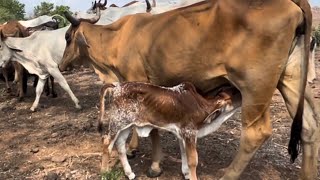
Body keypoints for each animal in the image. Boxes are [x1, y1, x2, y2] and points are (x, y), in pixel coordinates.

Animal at [97, 82, 240, 180]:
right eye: (234, 93)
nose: (242, 93)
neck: (200, 104)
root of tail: (116, 87)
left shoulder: (182, 134)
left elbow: (184, 154)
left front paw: (186, 173)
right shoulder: (189, 132)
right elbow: (193, 160)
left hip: (126, 126)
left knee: (120, 146)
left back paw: (130, 173)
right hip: (118, 122)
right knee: (106, 143)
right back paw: (104, 172)